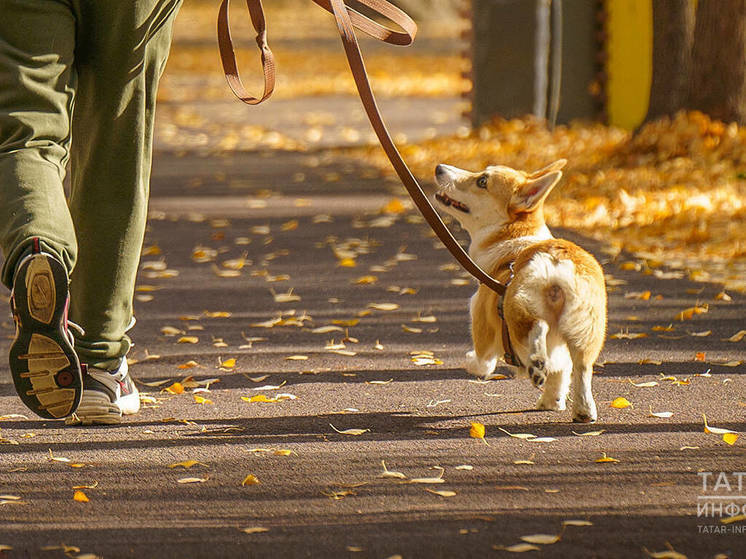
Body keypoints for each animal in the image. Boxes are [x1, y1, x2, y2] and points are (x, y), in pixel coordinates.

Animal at [434, 160, 608, 422]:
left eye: (482, 181)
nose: (438, 168)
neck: (513, 238)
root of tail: (557, 263)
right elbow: (560, 376)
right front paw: (551, 403)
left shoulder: (480, 321)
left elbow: (483, 363)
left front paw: (470, 362)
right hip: (589, 330)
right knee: (582, 368)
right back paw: (584, 411)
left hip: (517, 307)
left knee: (536, 328)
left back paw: (537, 363)